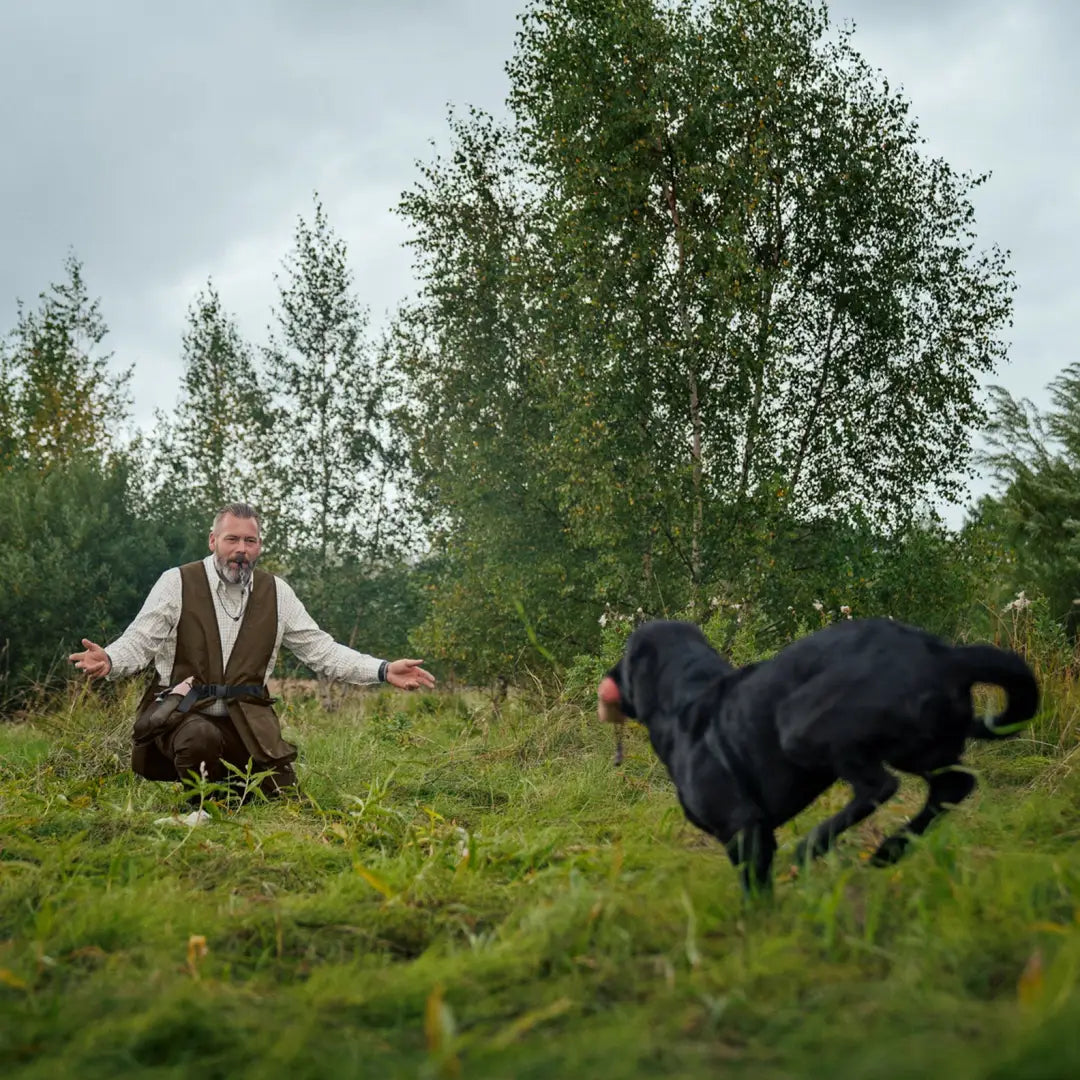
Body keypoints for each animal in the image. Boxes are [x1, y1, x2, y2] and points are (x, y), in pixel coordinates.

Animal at [600, 617, 1036, 894]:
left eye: (626, 658)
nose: (608, 679)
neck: (686, 703)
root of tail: (944, 655)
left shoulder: (743, 828)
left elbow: (754, 893)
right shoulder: (760, 834)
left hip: (801, 724)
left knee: (880, 785)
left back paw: (813, 847)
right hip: (925, 748)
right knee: (953, 785)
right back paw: (888, 850)